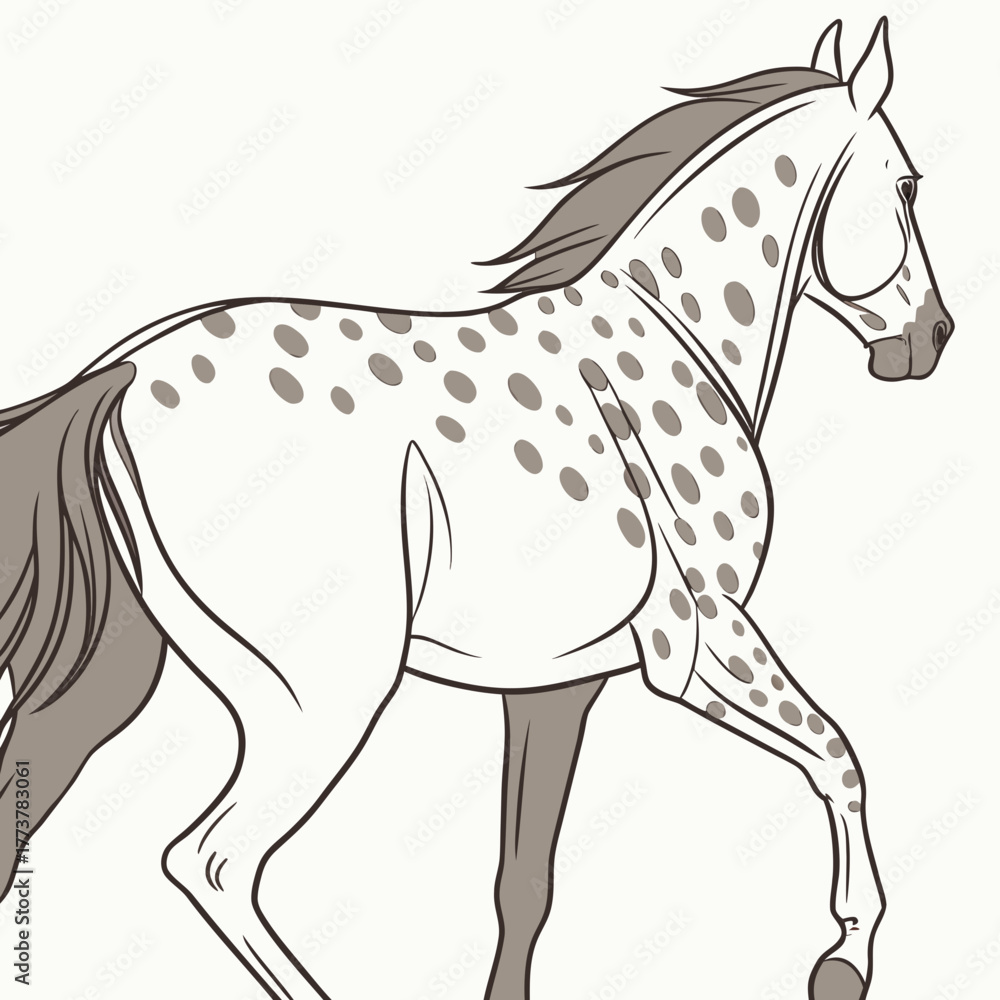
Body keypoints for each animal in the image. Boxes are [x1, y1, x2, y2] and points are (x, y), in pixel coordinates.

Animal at [0, 17, 953, 1000]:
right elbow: (840, 756)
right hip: (318, 695)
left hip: (117, 669)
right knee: (215, 861)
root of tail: (118, 374)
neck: (671, 337)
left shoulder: (558, 684)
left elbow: (523, 879)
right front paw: (843, 960)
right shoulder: (700, 642)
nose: (929, 341)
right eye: (909, 184)